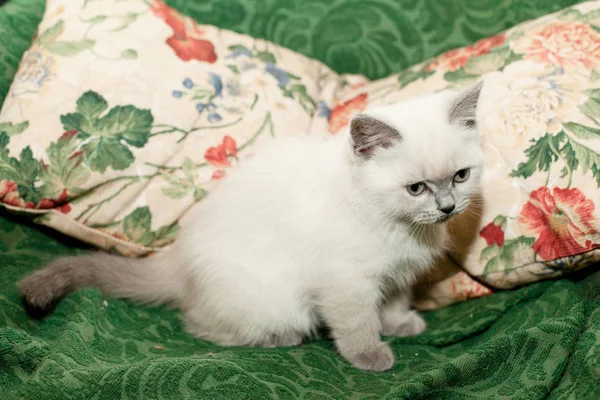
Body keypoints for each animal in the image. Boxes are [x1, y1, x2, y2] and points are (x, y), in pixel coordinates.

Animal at [21, 83, 486, 372]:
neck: (400, 226)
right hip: (267, 299)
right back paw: (282, 338)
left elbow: (391, 304)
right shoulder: (345, 282)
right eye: (416, 188)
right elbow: (357, 324)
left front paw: (401, 324)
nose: (447, 208)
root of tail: (177, 259)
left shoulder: (397, 274)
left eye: (460, 176)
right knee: (201, 324)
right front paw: (371, 355)